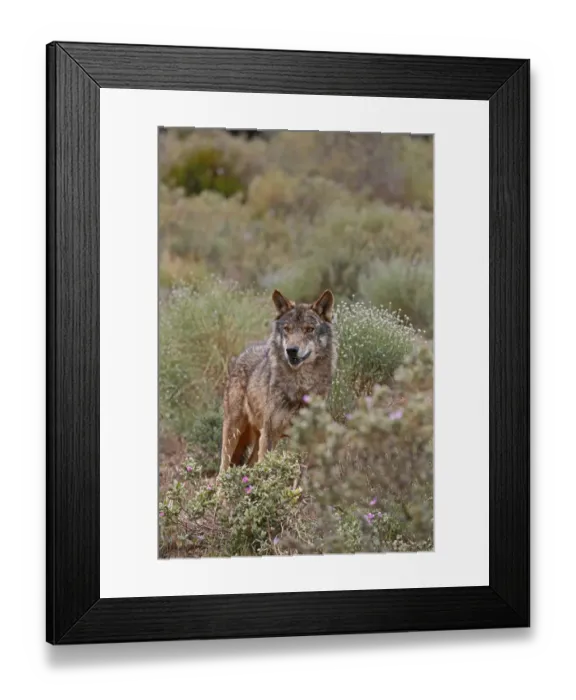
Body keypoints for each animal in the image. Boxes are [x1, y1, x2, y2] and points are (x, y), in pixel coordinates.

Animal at [219, 288, 336, 473]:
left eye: (309, 329)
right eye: (287, 329)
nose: (291, 350)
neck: (299, 387)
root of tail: (241, 354)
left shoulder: (309, 438)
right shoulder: (270, 434)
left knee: (250, 464)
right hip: (234, 431)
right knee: (223, 468)